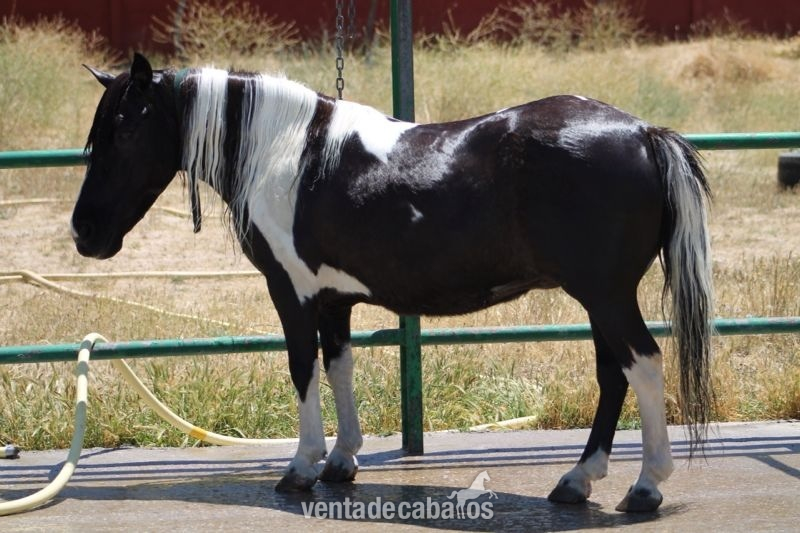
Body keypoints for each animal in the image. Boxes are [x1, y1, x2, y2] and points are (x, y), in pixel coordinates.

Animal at [72, 53, 713, 513]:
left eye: (123, 130)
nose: (83, 232)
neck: (288, 153)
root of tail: (642, 132)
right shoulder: (333, 300)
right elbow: (339, 367)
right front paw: (341, 462)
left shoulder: (292, 294)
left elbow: (302, 369)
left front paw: (301, 468)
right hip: (600, 297)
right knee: (614, 376)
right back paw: (577, 481)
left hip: (605, 295)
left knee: (644, 366)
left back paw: (645, 487)